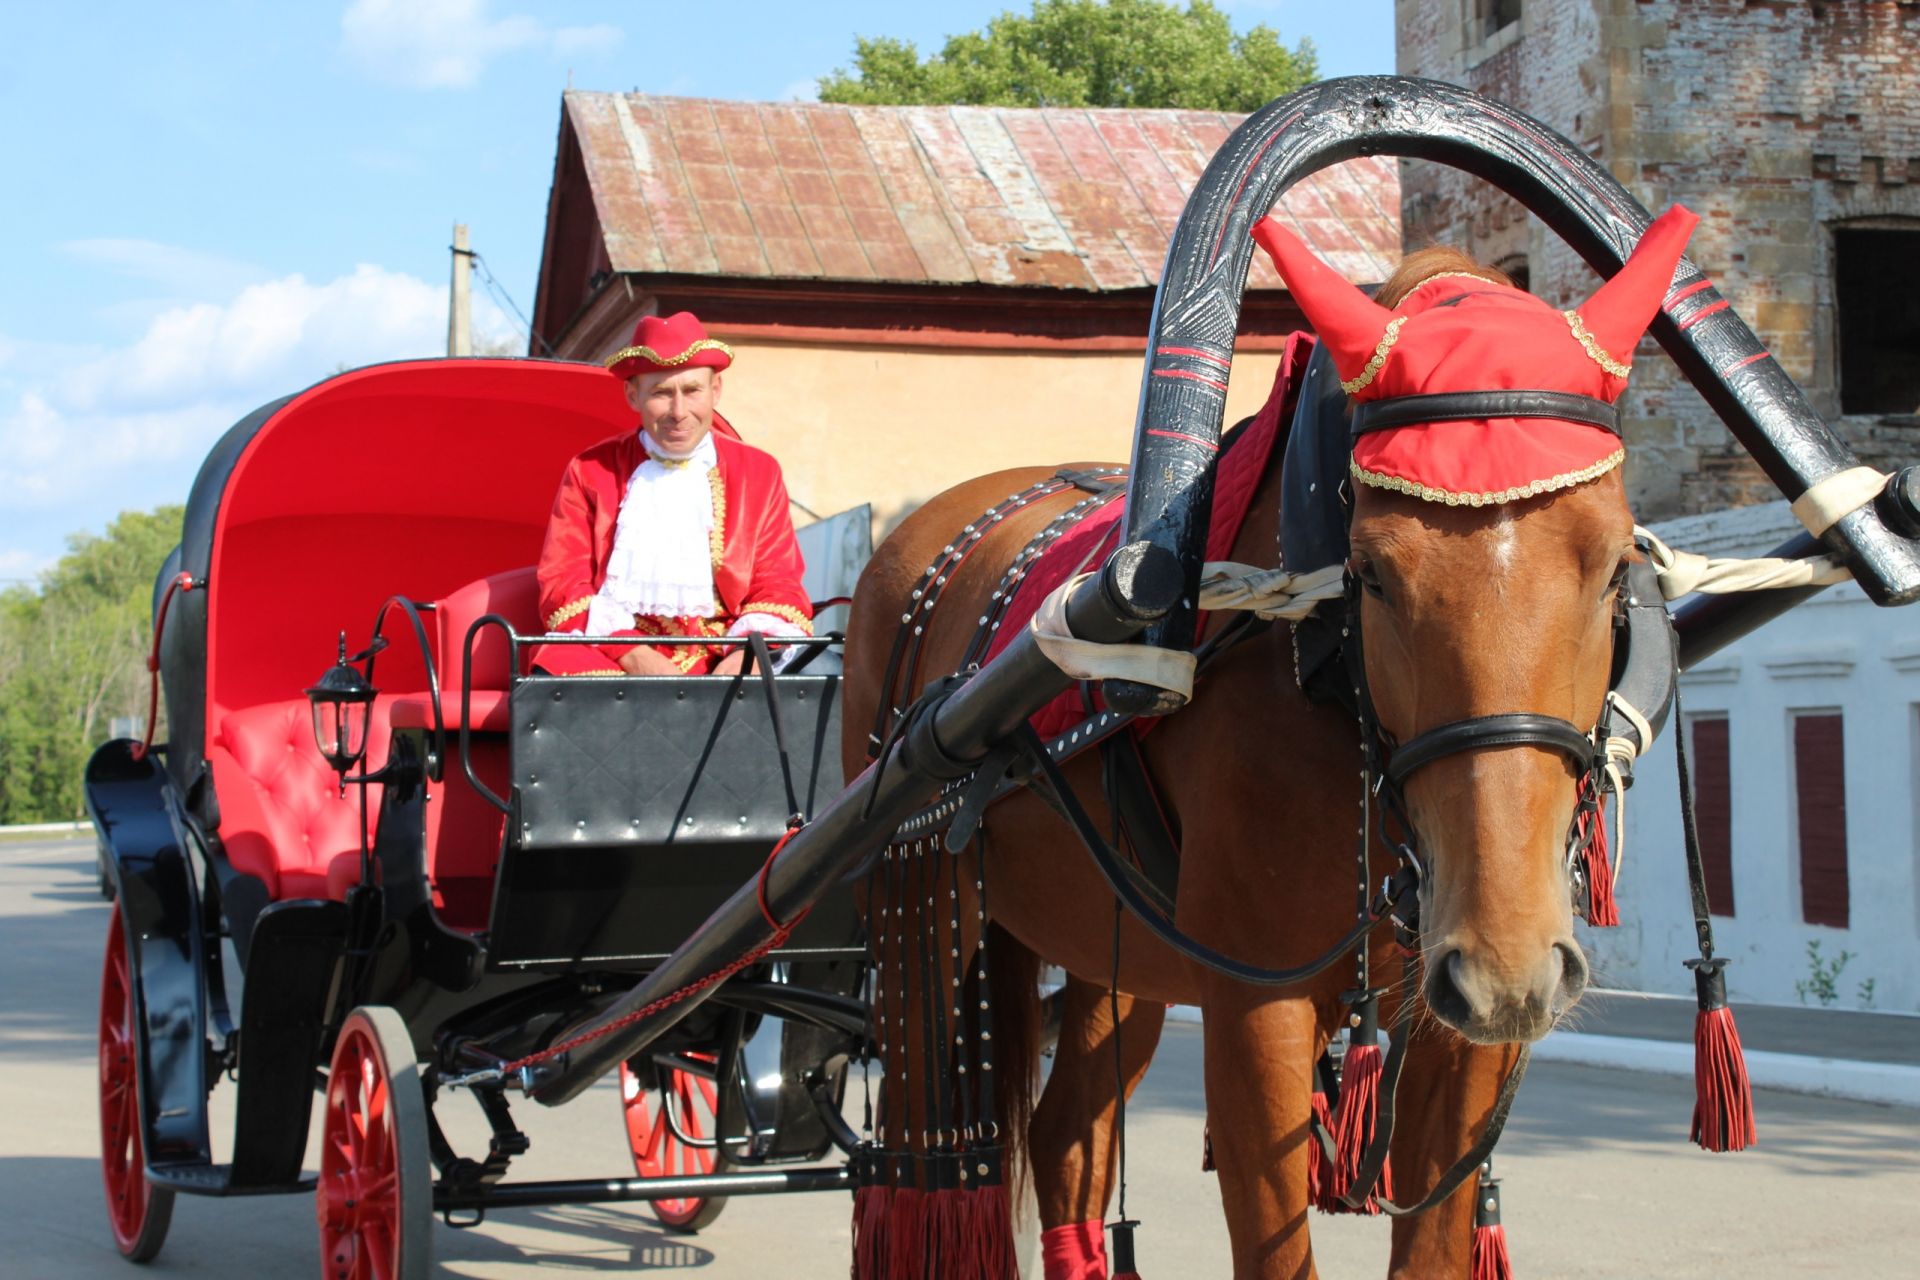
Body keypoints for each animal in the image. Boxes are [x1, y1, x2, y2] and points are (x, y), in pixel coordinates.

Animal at [848, 208, 1689, 1274]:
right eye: (1371, 574)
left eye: (1618, 564)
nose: (1504, 962)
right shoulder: (1255, 1010)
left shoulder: (1465, 1033)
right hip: (919, 917)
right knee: (921, 1169)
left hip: (1116, 955)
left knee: (1066, 1138)